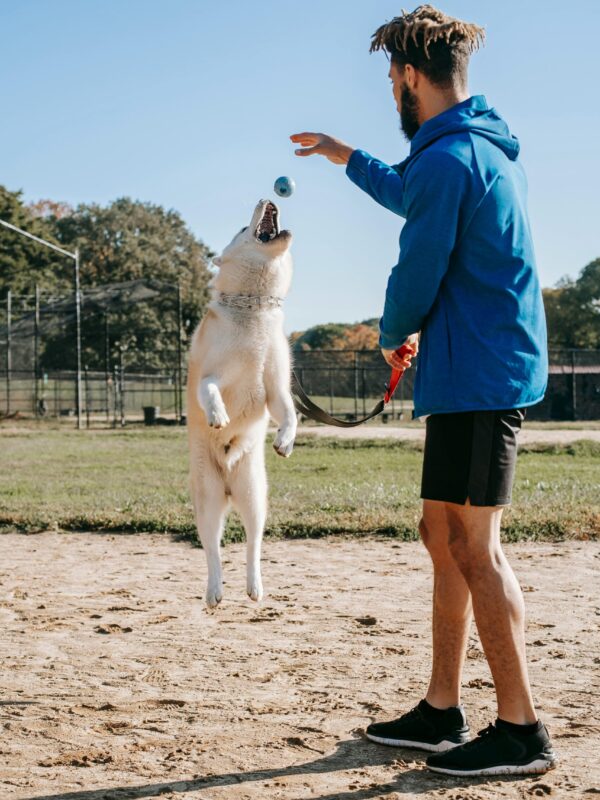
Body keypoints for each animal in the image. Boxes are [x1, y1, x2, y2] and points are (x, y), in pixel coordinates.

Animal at [188, 198, 298, 608]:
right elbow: (209, 391)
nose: (267, 198)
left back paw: (255, 587)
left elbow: (290, 414)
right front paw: (218, 415)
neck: (255, 310)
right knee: (213, 550)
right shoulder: (210, 376)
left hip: (254, 499)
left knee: (253, 545)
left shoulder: (276, 389)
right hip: (208, 502)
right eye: (240, 228)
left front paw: (285, 441)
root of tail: (229, 485)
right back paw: (215, 591)